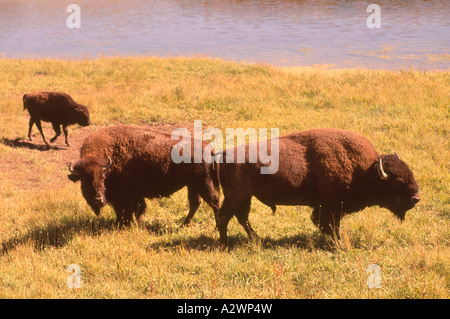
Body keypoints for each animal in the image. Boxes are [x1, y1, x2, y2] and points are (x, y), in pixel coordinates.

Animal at [67, 125, 221, 228]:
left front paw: (126, 225)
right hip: (192, 185)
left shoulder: (125, 196)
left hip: (203, 183)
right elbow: (136, 209)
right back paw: (184, 225)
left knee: (214, 201)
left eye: (103, 177)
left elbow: (129, 210)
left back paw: (216, 226)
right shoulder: (133, 195)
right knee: (196, 202)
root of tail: (209, 147)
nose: (98, 200)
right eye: (84, 179)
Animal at [216, 129, 420, 246]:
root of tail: (224, 154)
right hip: (237, 196)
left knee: (240, 217)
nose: (416, 198)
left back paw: (256, 239)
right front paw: (337, 242)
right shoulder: (332, 207)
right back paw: (225, 243)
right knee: (225, 216)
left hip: (245, 197)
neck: (365, 170)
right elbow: (331, 225)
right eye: (398, 181)